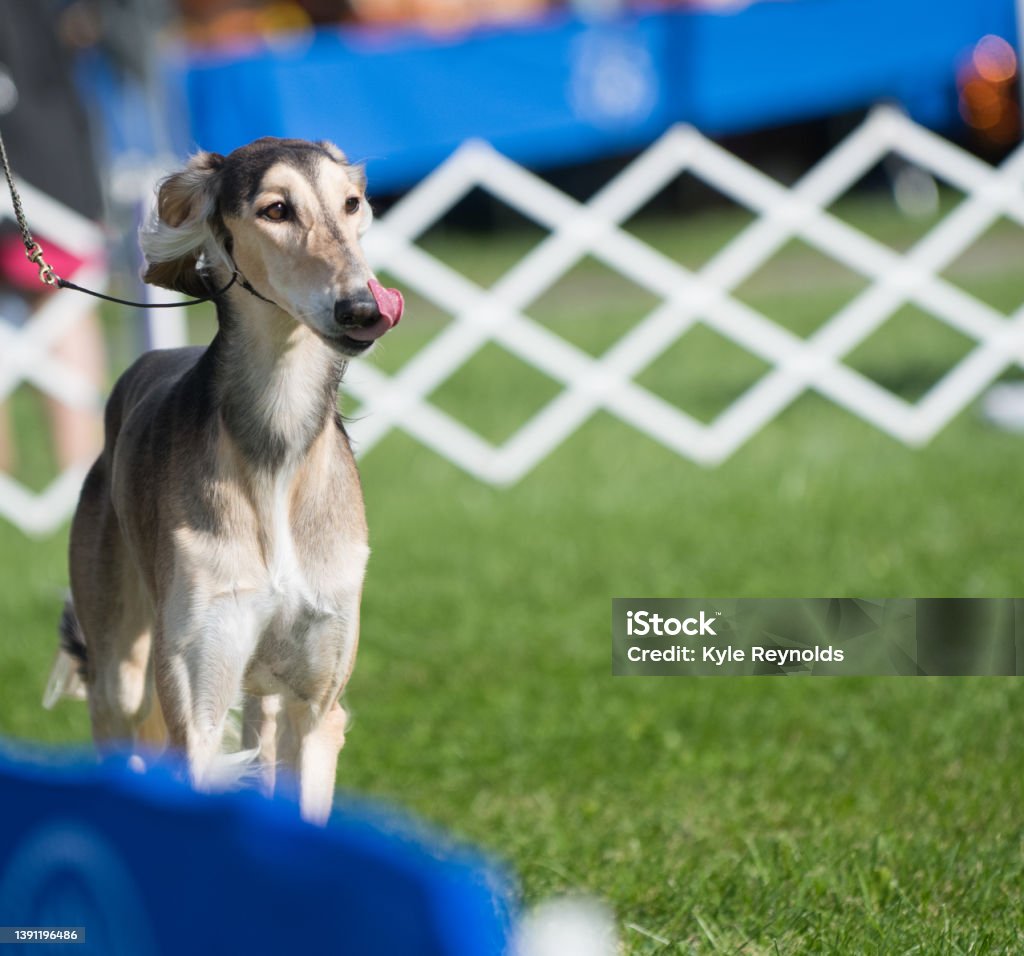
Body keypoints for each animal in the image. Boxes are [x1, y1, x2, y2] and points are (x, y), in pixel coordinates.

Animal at [46, 136, 403, 822]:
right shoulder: (197, 703)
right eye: (275, 209)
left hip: (262, 693)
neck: (275, 449)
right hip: (121, 672)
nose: (364, 308)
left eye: (352, 203)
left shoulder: (315, 706)